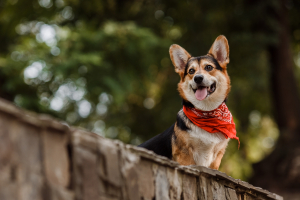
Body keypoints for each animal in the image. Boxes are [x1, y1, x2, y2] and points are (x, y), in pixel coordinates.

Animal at [138, 35, 239, 169]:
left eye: (208, 67)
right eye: (191, 71)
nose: (198, 78)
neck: (206, 112)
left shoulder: (216, 157)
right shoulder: (185, 155)